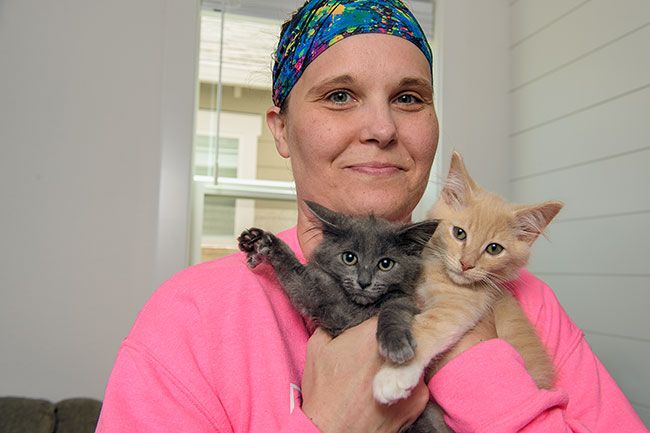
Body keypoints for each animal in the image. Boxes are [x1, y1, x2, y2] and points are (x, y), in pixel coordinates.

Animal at [238, 202, 446, 432]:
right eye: (349, 258)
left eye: (386, 264)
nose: (364, 282)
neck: (357, 308)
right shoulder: (322, 301)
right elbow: (293, 271)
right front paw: (260, 241)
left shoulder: (404, 301)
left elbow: (393, 311)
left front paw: (395, 344)